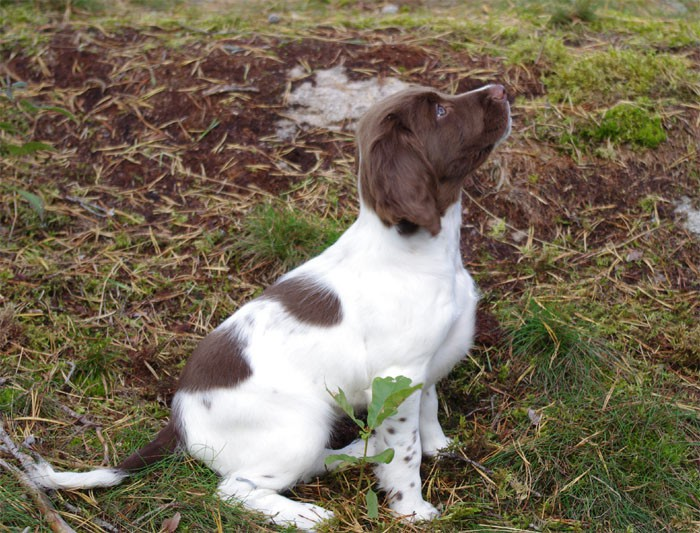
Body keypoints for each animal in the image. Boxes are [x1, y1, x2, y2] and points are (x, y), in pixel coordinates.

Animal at [30, 83, 512, 528]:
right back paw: (307, 515)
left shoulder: (420, 369)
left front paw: (440, 446)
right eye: (440, 111)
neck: (418, 251)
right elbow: (405, 454)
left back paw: (360, 452)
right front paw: (414, 510)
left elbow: (428, 406)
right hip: (299, 428)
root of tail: (180, 418)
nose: (501, 89)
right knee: (234, 489)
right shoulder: (397, 375)